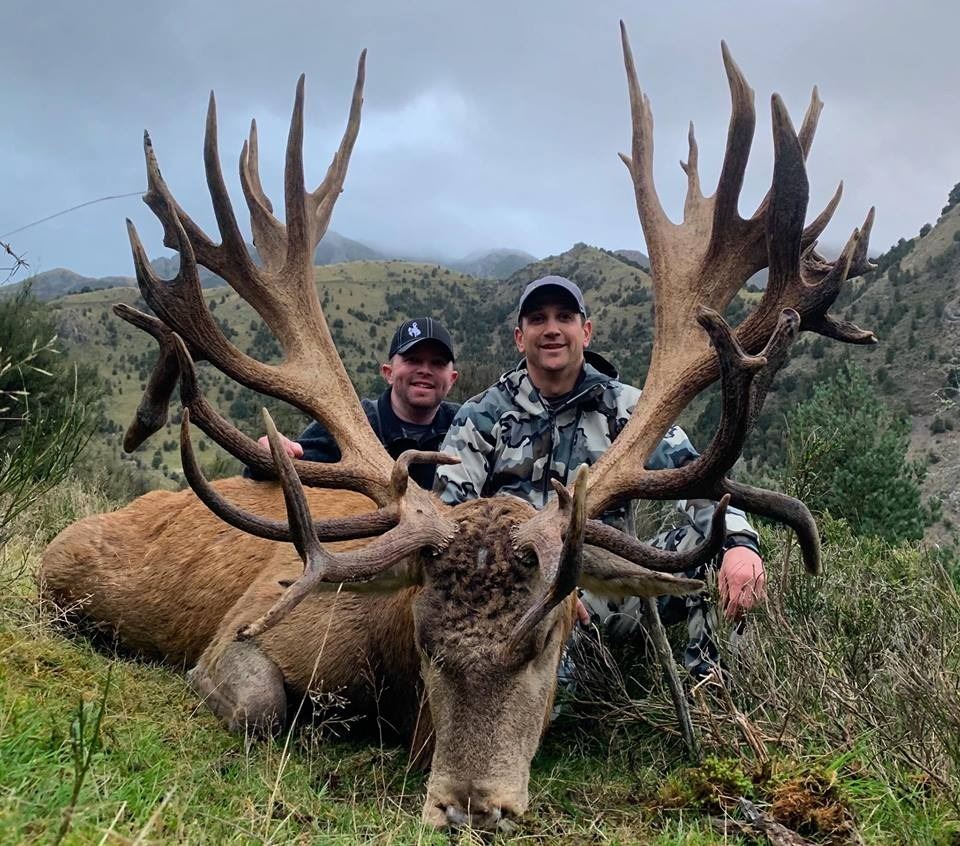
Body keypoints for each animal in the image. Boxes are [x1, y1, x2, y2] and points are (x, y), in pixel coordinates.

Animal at [39, 24, 876, 830]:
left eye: (547, 641)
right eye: (426, 641)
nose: (471, 803)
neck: (386, 666)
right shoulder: (240, 631)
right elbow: (259, 704)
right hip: (58, 568)